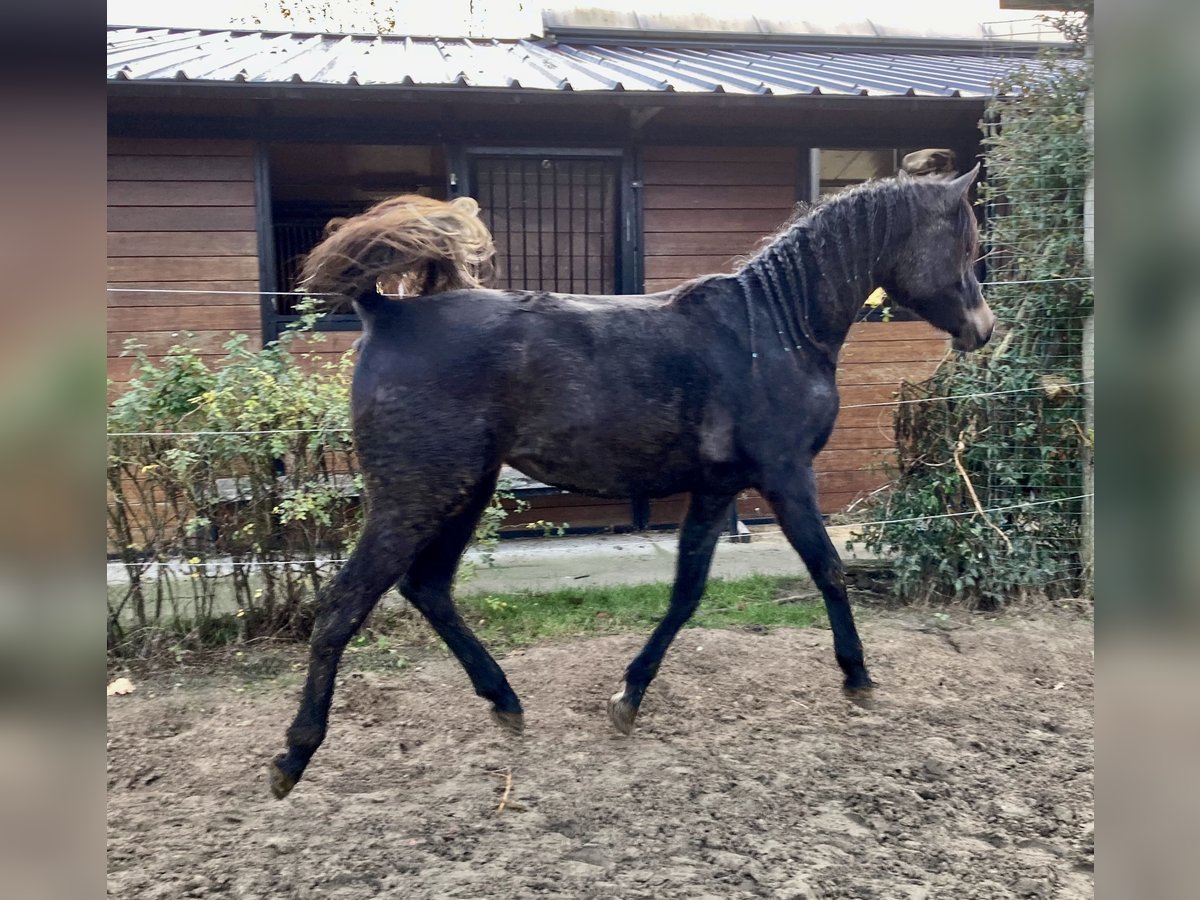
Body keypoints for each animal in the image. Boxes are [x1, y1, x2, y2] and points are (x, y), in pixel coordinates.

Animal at [268, 165, 995, 799]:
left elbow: (686, 592)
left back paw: (505, 702)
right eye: (966, 243)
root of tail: (386, 314)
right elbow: (829, 569)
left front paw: (628, 697)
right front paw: (858, 677)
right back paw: (293, 756)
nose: (983, 329)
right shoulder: (786, 475)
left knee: (428, 589)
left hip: (462, 490)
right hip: (413, 495)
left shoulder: (718, 486)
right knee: (345, 603)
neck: (776, 327)